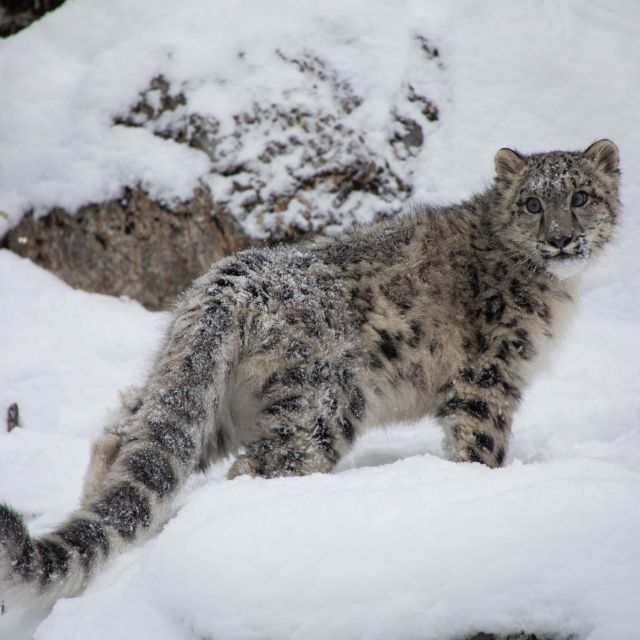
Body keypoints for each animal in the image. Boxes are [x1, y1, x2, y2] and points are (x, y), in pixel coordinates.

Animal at [0, 139, 620, 604]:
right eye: (533, 203)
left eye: (581, 195)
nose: (560, 237)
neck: (554, 290)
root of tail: (229, 278)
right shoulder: (489, 374)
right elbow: (480, 445)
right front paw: (482, 491)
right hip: (323, 410)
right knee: (260, 466)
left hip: (209, 403)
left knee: (126, 438)